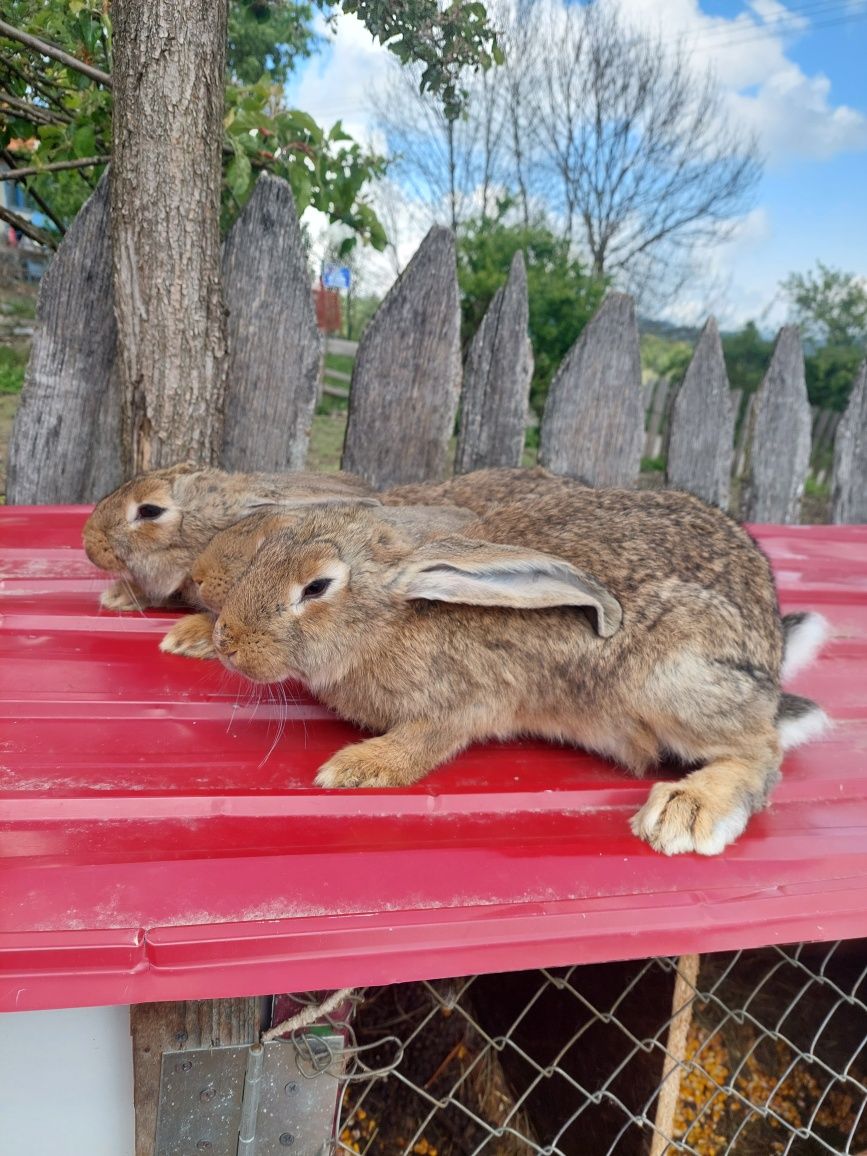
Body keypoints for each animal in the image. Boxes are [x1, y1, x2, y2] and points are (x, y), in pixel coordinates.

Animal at [213, 487, 832, 860]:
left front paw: (358, 768)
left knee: (762, 751)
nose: (225, 640)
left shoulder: (468, 702)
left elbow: (429, 738)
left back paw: (688, 811)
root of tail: (771, 659)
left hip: (677, 680)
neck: (394, 615)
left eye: (317, 587)